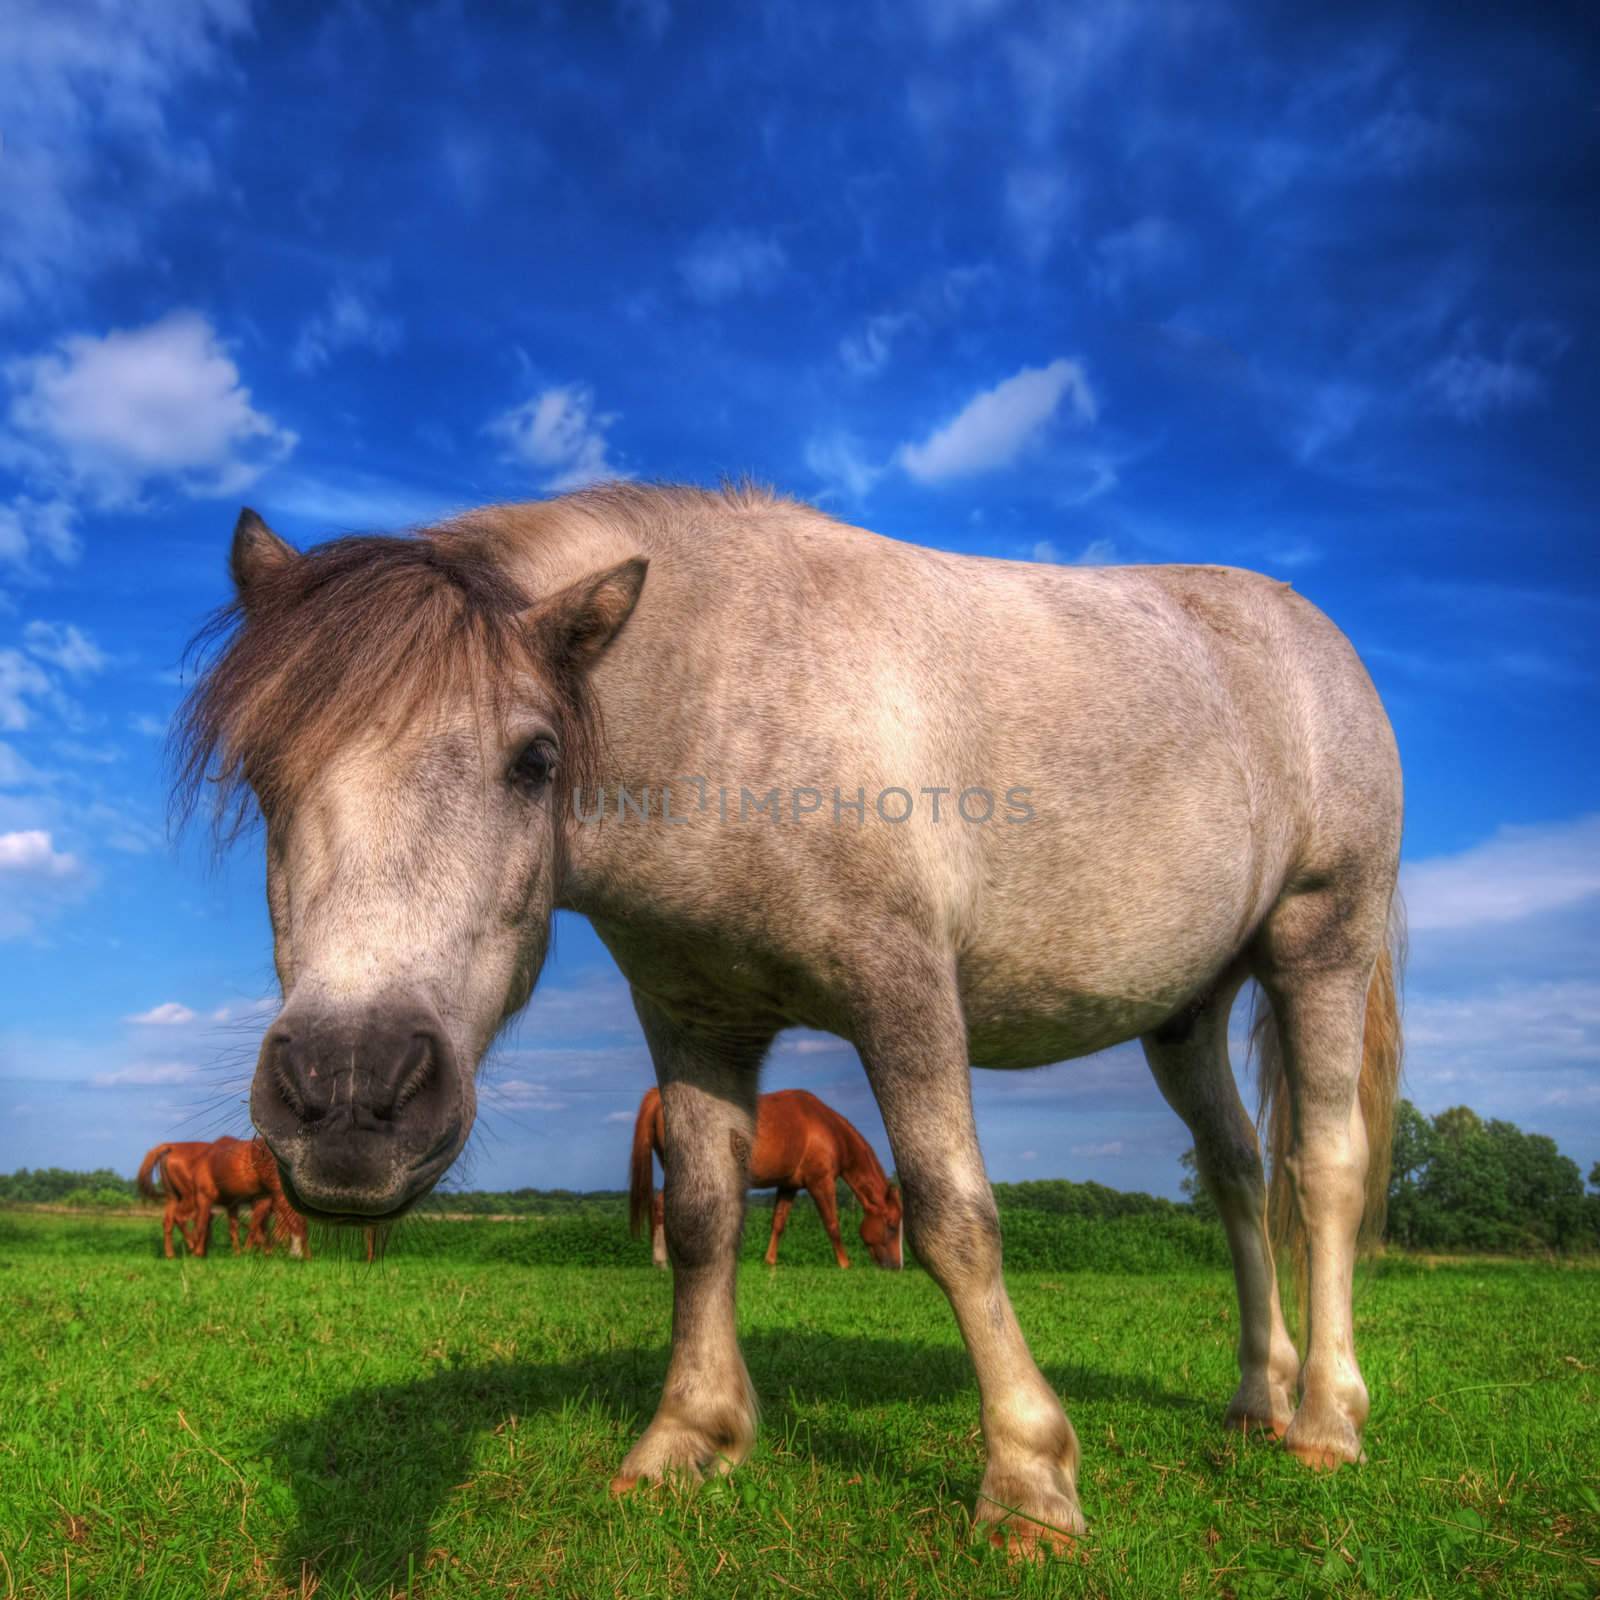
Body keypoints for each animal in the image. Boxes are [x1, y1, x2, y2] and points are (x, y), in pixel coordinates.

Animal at [627, 1081, 902, 1267]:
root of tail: (659, 1097)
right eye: (891, 1224)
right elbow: (832, 1223)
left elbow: (778, 1222)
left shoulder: (789, 1185)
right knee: (662, 1205)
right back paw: (662, 1262)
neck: (824, 1127)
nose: (896, 1266)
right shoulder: (820, 1183)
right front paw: (845, 1264)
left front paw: (769, 1261)